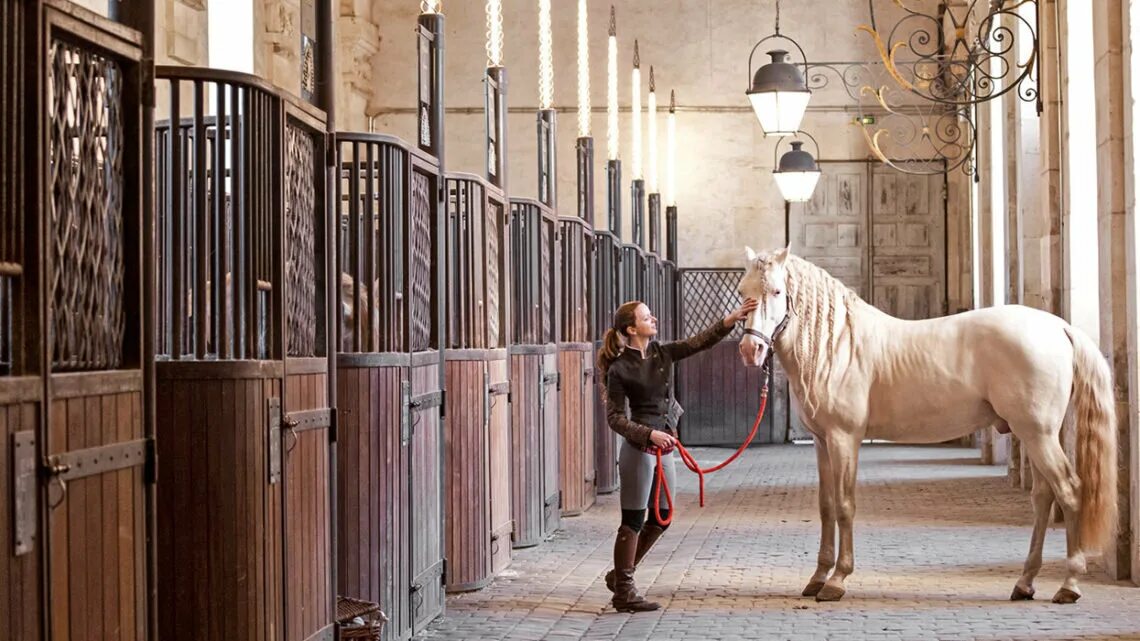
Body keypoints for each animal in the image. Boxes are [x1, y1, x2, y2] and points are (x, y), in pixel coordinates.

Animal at [734, 244, 1117, 602]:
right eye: (742, 291)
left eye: (777, 292)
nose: (751, 350)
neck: (838, 346)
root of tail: (1058, 326)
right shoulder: (822, 441)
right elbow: (826, 507)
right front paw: (816, 578)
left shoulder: (844, 438)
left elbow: (844, 505)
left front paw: (837, 581)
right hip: (1034, 435)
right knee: (1043, 497)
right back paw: (1025, 583)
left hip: (1039, 435)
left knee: (1069, 491)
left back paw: (1069, 585)